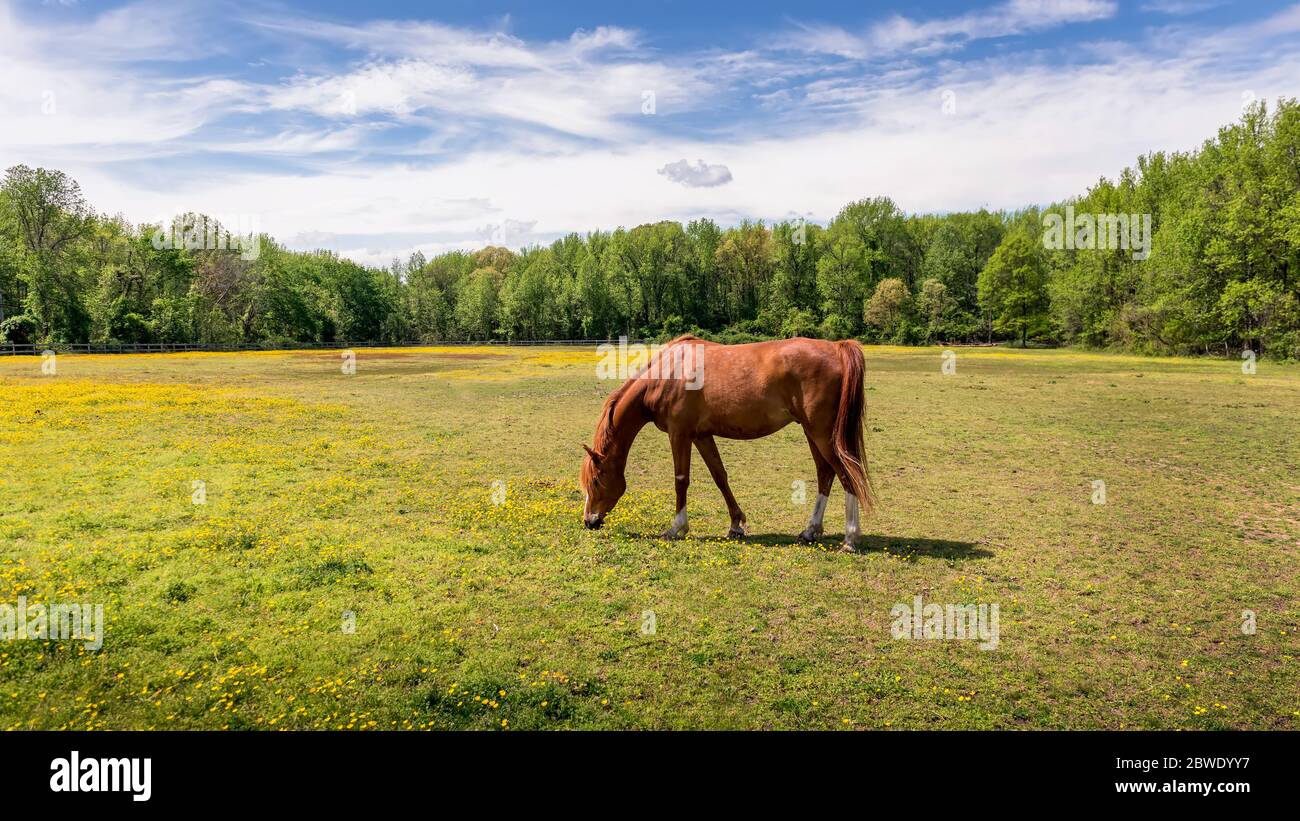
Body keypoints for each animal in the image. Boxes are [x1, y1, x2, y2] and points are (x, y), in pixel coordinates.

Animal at [579, 332, 873, 550]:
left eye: (596, 481)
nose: (589, 521)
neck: (667, 374)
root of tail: (836, 348)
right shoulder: (701, 435)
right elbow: (720, 476)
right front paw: (736, 524)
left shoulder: (679, 434)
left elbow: (681, 480)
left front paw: (677, 528)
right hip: (812, 433)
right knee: (825, 474)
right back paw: (811, 530)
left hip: (822, 434)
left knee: (847, 474)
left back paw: (850, 538)